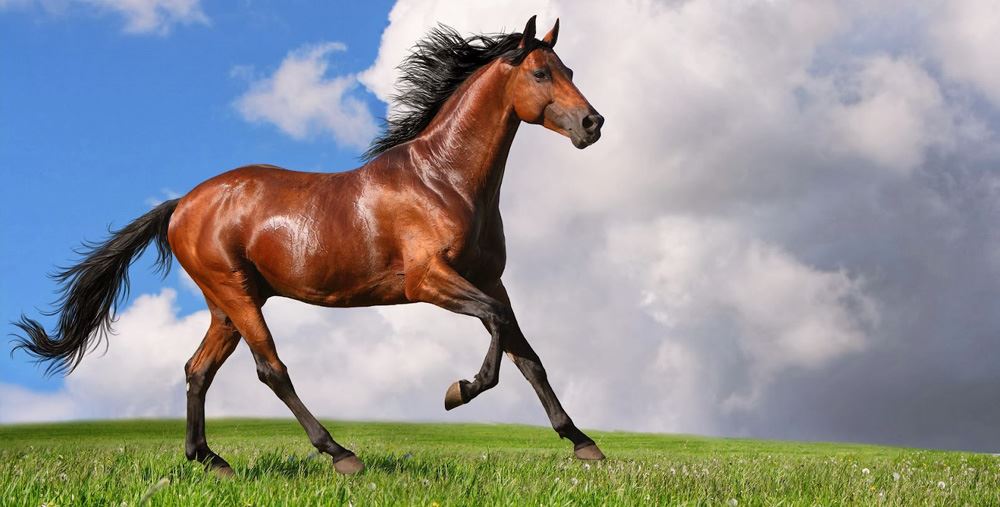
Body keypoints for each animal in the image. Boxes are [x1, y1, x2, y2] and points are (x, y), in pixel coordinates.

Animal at [15, 15, 604, 476]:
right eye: (540, 72)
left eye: (570, 71)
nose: (592, 123)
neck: (444, 179)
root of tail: (182, 203)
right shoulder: (429, 280)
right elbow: (499, 332)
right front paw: (458, 391)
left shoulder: (490, 279)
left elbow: (528, 355)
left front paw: (583, 444)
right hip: (236, 295)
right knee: (270, 368)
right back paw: (340, 453)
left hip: (226, 304)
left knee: (198, 369)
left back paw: (211, 460)